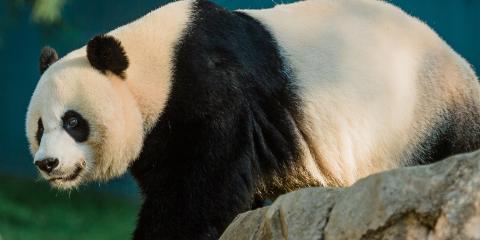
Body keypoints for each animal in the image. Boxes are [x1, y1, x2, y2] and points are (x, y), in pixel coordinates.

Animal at [25, 0, 480, 239]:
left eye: (73, 121)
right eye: (39, 128)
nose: (47, 163)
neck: (154, 63)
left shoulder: (209, 89)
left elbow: (202, 187)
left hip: (425, 111)